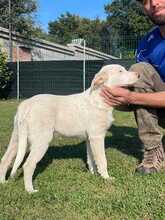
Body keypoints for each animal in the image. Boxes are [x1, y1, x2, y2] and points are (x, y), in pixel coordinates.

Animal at [0, 64, 139, 192]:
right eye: (120, 71)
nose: (138, 75)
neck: (99, 98)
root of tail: (26, 104)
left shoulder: (90, 139)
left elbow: (91, 159)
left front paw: (93, 174)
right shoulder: (97, 137)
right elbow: (102, 160)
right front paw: (106, 178)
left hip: (18, 139)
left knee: (5, 160)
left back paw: (3, 182)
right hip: (41, 141)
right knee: (28, 165)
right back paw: (30, 190)